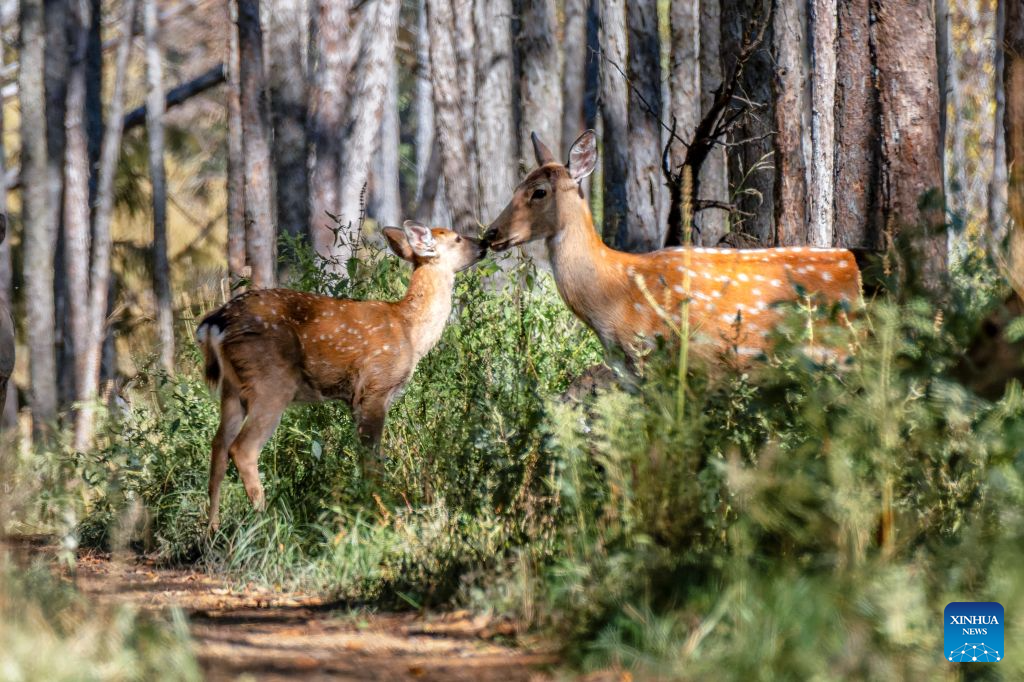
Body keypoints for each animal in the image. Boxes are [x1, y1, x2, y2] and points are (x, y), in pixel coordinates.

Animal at [196, 221, 487, 529]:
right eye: (457, 238)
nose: (484, 244)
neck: (410, 331)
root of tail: (214, 324)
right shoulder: (376, 385)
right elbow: (372, 459)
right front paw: (381, 512)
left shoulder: (354, 399)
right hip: (270, 383)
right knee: (242, 449)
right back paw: (269, 522)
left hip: (231, 388)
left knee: (218, 446)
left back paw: (213, 529)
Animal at [484, 130, 863, 373]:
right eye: (516, 186)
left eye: (539, 191)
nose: (491, 233)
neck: (613, 295)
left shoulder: (656, 359)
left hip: (839, 355)